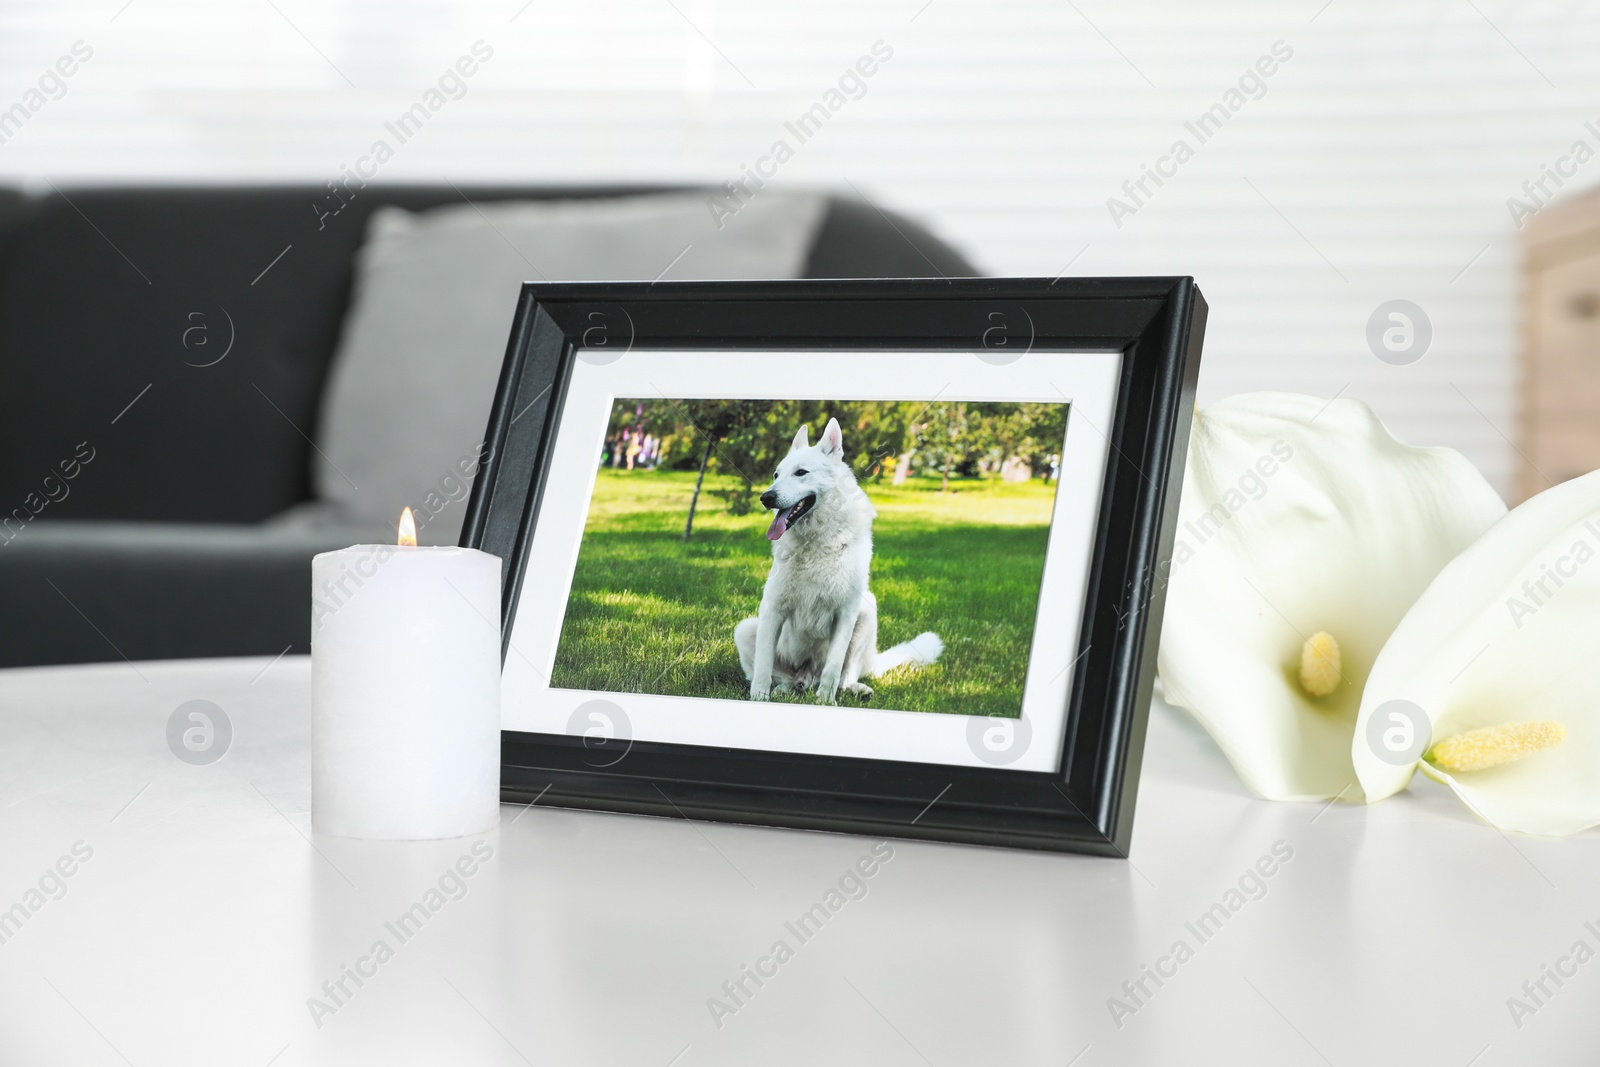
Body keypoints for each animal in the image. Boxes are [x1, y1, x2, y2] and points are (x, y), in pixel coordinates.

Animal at [732, 422, 940, 703]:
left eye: (801, 473)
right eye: (776, 475)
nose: (766, 498)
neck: (816, 541)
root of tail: (807, 676)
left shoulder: (846, 613)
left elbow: (833, 668)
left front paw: (825, 702)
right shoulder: (772, 609)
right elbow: (763, 666)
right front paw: (759, 698)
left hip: (867, 612)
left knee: (843, 676)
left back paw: (853, 689)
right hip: (745, 629)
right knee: (782, 677)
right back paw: (785, 689)